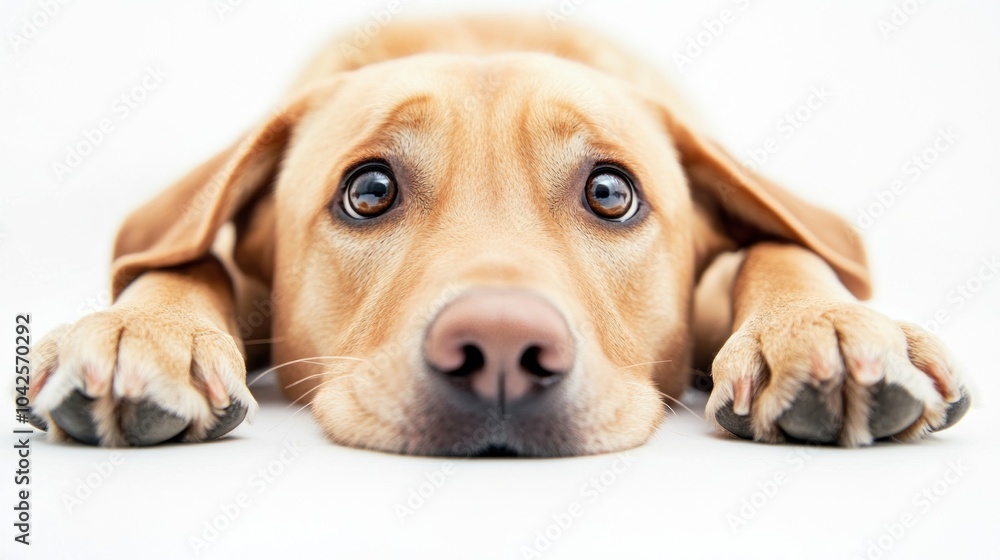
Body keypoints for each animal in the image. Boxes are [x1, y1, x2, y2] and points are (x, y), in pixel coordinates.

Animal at [29, 15, 968, 458]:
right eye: (368, 191)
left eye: (610, 192)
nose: (504, 349)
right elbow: (190, 257)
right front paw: (141, 331)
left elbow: (784, 245)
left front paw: (821, 329)